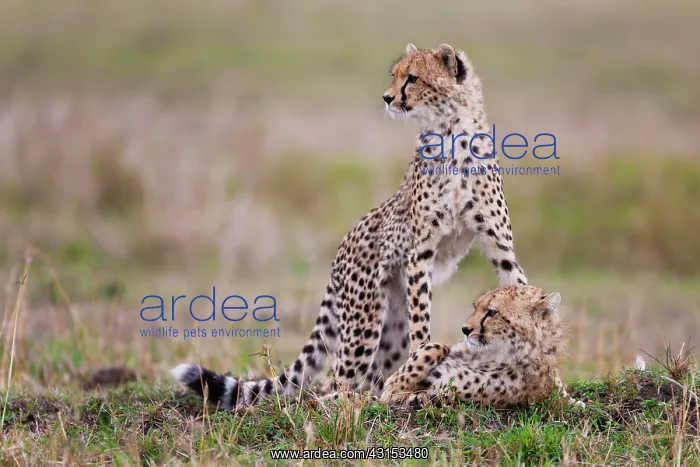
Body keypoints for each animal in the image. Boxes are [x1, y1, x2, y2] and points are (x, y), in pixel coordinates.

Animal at [171, 43, 531, 410]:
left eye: (413, 78)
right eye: (395, 75)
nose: (387, 97)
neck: (452, 133)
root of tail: (341, 250)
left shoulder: (500, 248)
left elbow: (518, 288)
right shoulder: (420, 255)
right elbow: (421, 320)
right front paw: (424, 356)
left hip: (389, 326)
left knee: (366, 377)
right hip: (364, 321)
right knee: (334, 384)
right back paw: (354, 403)